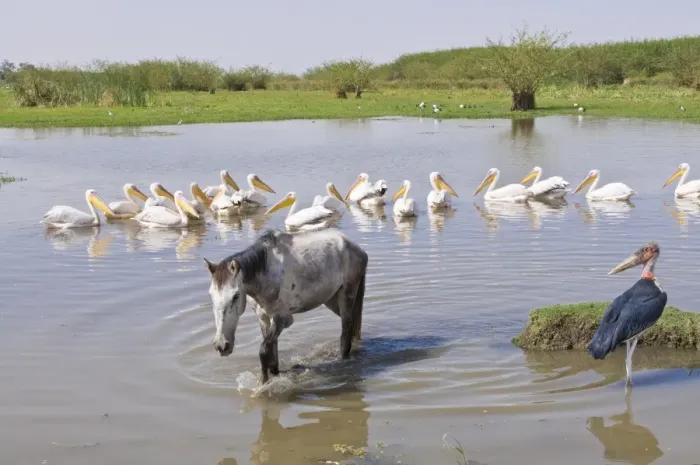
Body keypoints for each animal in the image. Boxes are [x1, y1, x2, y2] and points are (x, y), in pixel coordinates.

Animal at [203, 228, 368, 384]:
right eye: (211, 295)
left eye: (236, 296)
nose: (222, 346)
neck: (265, 274)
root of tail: (357, 248)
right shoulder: (263, 317)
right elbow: (272, 351)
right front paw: (274, 374)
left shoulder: (281, 318)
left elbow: (264, 350)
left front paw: (263, 383)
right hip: (332, 300)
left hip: (347, 294)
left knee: (346, 333)